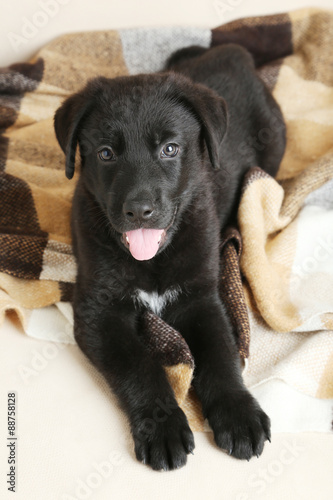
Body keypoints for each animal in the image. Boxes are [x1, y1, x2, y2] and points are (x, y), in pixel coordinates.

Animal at [54, 45, 286, 470]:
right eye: (106, 153)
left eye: (170, 149)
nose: (139, 210)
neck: (152, 261)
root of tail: (234, 51)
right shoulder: (99, 311)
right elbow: (139, 366)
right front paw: (161, 426)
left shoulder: (202, 299)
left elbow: (222, 356)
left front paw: (238, 413)